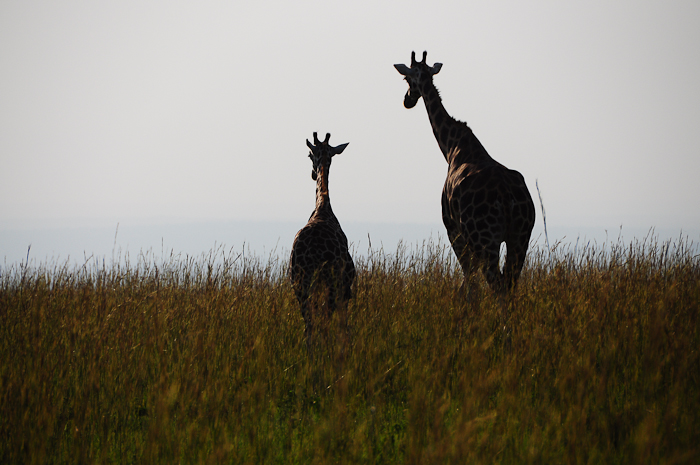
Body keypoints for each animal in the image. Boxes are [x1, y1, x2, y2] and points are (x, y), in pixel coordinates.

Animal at [290, 132, 356, 346]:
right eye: (311, 155)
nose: (312, 174)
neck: (323, 208)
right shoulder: (345, 289)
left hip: (301, 284)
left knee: (310, 324)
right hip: (329, 285)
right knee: (323, 321)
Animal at [394, 51, 536, 294]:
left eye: (406, 79)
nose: (407, 101)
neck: (452, 147)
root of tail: (507, 198)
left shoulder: (453, 228)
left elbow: (468, 282)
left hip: (485, 239)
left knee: (497, 283)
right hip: (520, 238)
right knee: (509, 283)